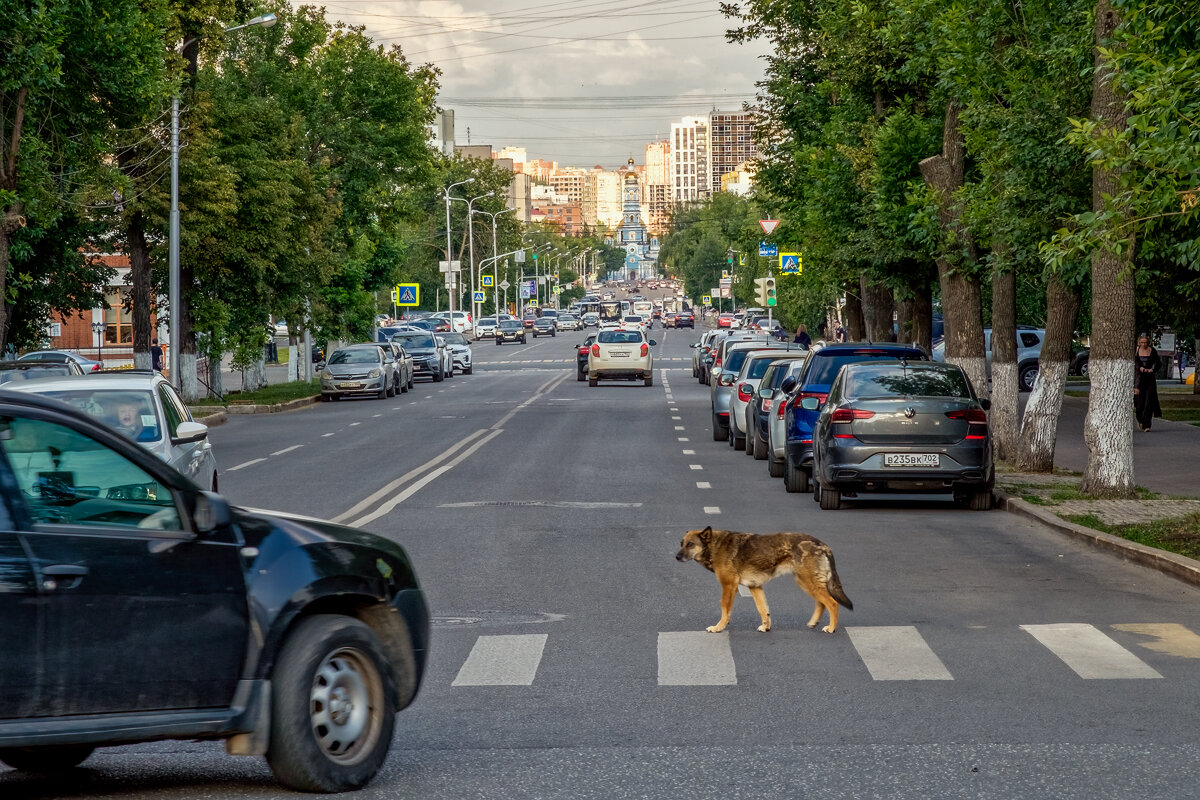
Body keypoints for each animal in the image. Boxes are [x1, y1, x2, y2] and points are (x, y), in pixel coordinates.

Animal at [676, 527, 854, 633]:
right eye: (681, 543)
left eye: (690, 544)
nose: (676, 557)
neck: (715, 545)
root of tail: (822, 544)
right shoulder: (755, 587)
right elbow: (763, 609)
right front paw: (766, 626)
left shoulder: (729, 586)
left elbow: (725, 609)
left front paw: (718, 627)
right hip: (806, 583)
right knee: (821, 603)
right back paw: (814, 622)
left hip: (809, 583)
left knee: (832, 603)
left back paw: (831, 628)